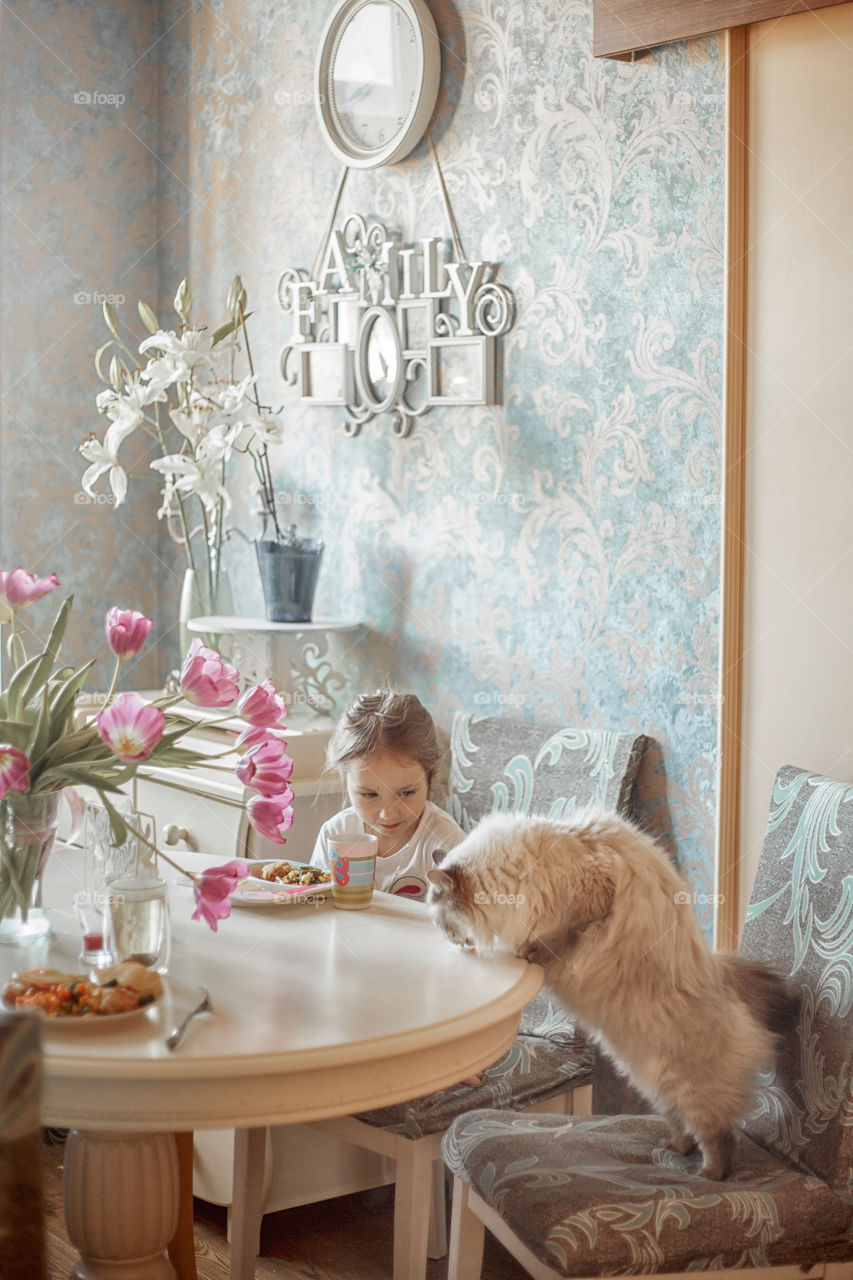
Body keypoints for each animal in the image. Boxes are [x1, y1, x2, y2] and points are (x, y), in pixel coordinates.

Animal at [427, 808, 794, 1177]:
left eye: (443, 924)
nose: (449, 941)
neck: (517, 868)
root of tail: (727, 983)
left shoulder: (590, 899)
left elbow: (554, 939)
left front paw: (528, 952)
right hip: (653, 1083)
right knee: (682, 1126)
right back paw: (673, 1148)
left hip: (689, 1088)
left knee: (718, 1135)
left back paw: (708, 1175)